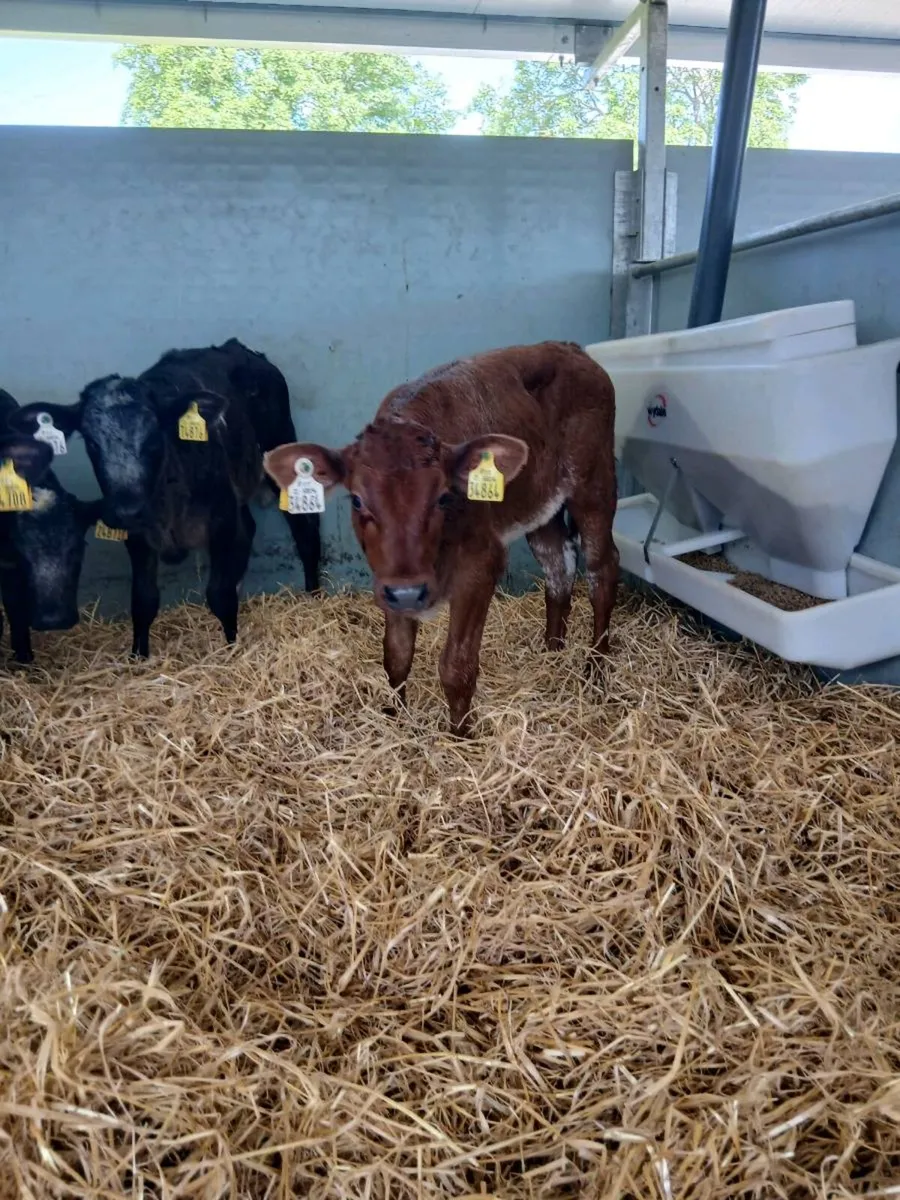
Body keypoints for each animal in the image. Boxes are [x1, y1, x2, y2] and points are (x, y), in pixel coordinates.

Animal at [12, 340, 322, 658]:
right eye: (91, 442)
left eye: (152, 438)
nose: (127, 511)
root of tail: (238, 348)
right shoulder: (138, 537)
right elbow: (143, 600)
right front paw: (138, 656)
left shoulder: (222, 520)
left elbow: (219, 595)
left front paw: (231, 649)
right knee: (250, 528)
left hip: (280, 444)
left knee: (304, 526)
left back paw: (313, 595)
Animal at [263, 341, 618, 736]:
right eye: (357, 500)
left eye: (443, 497)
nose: (408, 593)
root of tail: (570, 348)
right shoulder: (389, 580)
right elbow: (396, 655)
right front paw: (396, 717)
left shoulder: (480, 565)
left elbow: (456, 666)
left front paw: (461, 736)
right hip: (542, 506)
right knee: (558, 567)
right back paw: (552, 653)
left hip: (594, 483)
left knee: (603, 571)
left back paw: (595, 670)